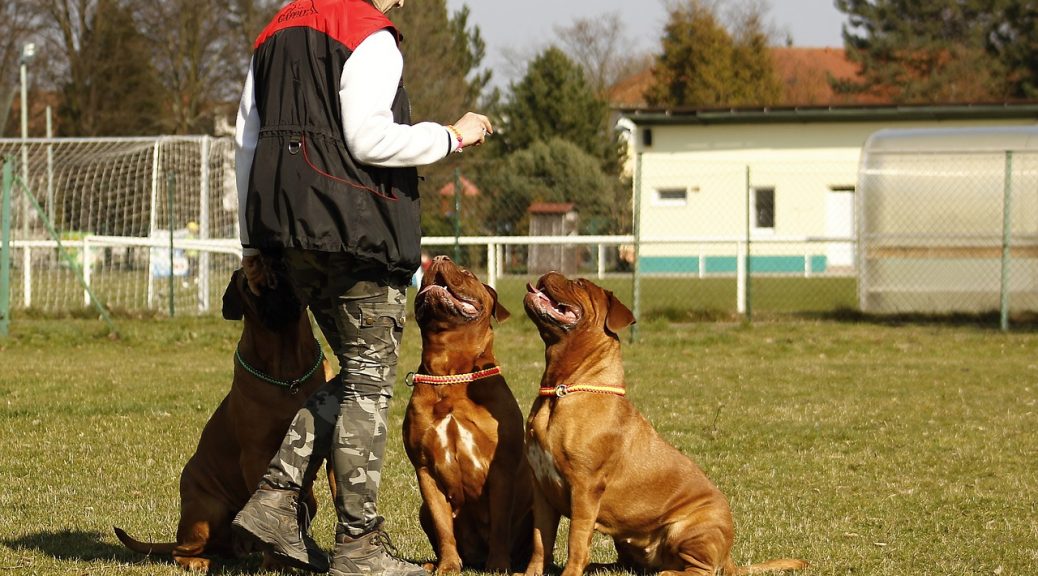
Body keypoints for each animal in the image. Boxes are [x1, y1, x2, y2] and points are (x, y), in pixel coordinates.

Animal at [115, 257, 332, 572]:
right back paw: (198, 560)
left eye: (283, 267)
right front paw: (275, 561)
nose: (275, 292)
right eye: (249, 286)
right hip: (210, 509)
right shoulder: (256, 455)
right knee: (180, 550)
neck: (288, 374)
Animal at [404, 259, 535, 572]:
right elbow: (443, 527)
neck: (450, 371)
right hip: (422, 509)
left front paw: (498, 566)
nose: (439, 257)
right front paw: (448, 566)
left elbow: (499, 524)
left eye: (467, 274)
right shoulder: (425, 470)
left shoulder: (501, 469)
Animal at [523, 273, 805, 576]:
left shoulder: (585, 488)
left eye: (580, 284)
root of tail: (729, 556)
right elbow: (540, 541)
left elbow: (576, 540)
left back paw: (667, 572)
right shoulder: (541, 489)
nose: (548, 273)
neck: (561, 389)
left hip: (690, 527)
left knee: (701, 569)